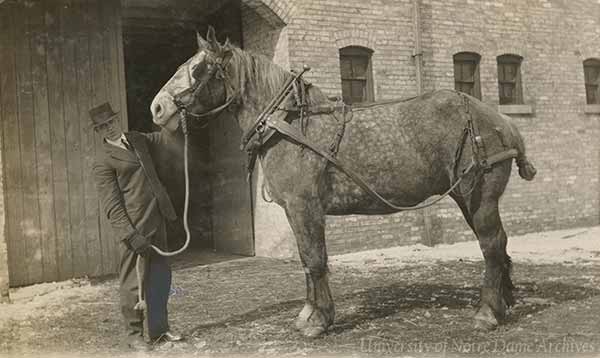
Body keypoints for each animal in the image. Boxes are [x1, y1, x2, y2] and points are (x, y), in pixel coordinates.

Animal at [150, 28, 540, 338]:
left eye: (198, 69)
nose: (157, 108)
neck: (290, 124)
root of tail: (501, 121)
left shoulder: (305, 206)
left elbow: (315, 259)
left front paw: (319, 321)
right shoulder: (296, 211)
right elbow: (306, 260)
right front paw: (309, 314)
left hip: (479, 196)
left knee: (491, 245)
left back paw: (487, 312)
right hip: (465, 198)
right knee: (498, 246)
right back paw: (504, 302)